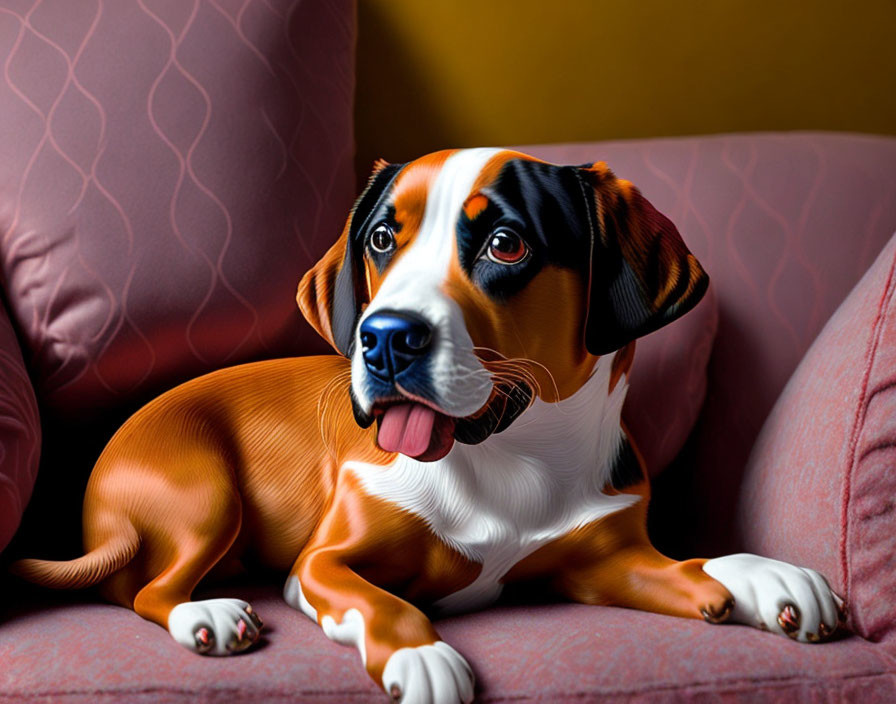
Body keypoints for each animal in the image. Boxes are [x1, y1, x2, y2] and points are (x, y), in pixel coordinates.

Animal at [17, 148, 852, 704]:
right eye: (381, 238)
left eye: (505, 243)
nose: (384, 338)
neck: (517, 463)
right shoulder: (323, 565)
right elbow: (383, 601)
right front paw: (420, 657)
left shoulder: (606, 561)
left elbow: (694, 565)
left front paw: (762, 574)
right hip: (205, 495)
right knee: (144, 590)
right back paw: (205, 613)